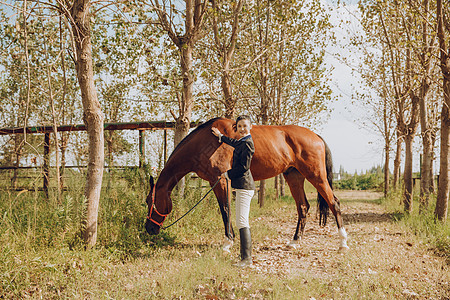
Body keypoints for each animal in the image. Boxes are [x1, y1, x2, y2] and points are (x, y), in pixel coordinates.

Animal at [146, 116, 350, 251]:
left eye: (149, 201)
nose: (149, 229)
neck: (206, 142)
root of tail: (315, 136)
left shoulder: (221, 180)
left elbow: (225, 209)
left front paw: (228, 242)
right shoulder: (218, 182)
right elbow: (227, 209)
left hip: (316, 176)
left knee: (333, 203)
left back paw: (343, 243)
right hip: (294, 177)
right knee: (303, 207)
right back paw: (294, 241)